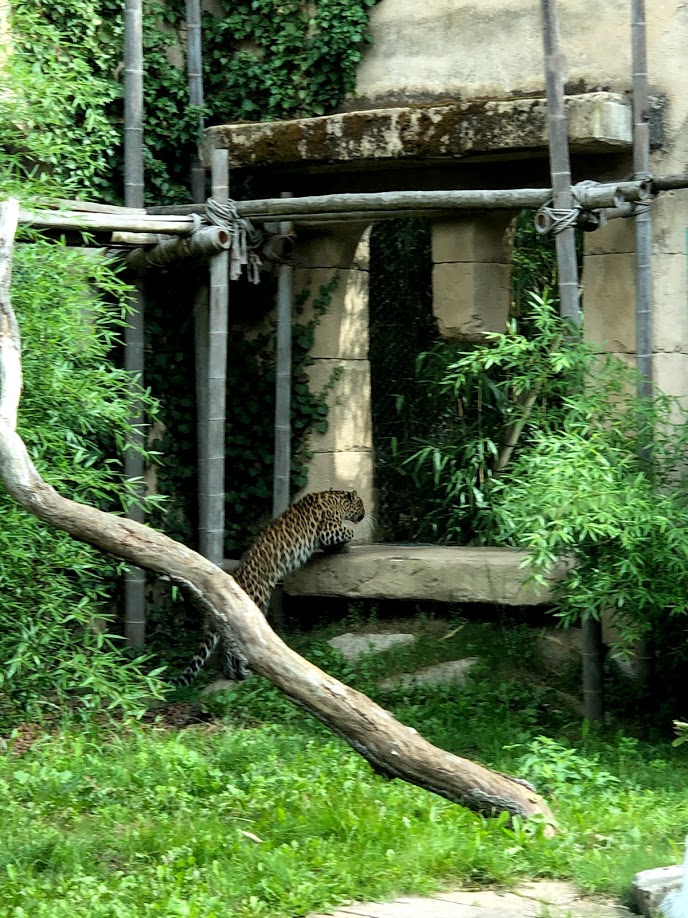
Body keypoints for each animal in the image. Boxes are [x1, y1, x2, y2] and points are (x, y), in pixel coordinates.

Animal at [172, 488, 365, 687]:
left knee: (228, 642)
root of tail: (236, 577)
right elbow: (348, 531)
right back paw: (244, 673)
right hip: (256, 602)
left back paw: (231, 673)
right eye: (361, 504)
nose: (365, 515)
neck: (335, 500)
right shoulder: (328, 530)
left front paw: (340, 549)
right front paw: (345, 544)